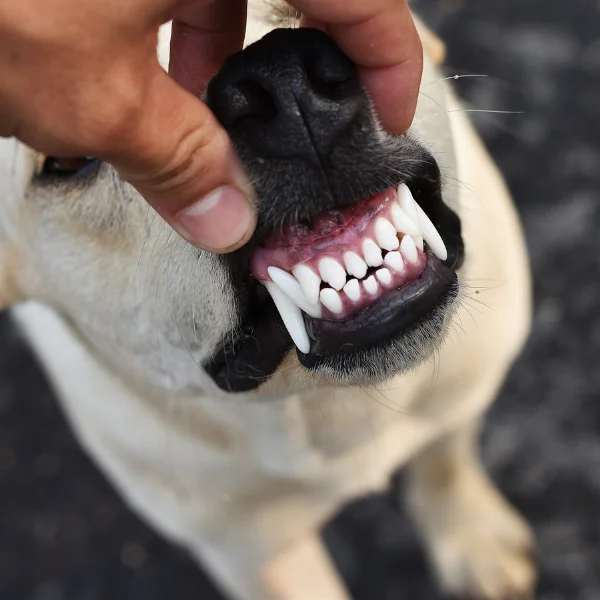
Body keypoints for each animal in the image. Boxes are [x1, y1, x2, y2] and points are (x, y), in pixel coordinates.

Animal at [0, 2, 536, 596]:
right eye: (70, 159)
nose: (282, 85)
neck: (337, 404)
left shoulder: (464, 386)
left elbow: (446, 452)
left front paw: (472, 538)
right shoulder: (250, 551)